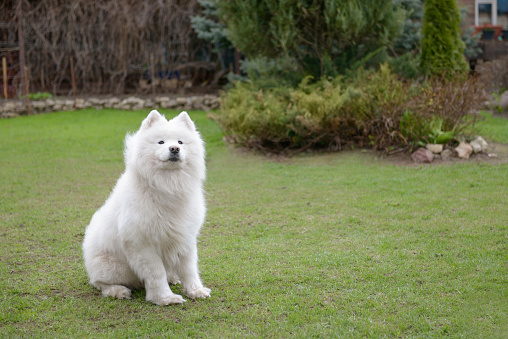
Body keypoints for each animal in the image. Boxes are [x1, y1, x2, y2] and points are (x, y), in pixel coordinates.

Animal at [82, 111, 209, 306]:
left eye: (180, 142)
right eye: (161, 142)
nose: (174, 149)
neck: (167, 185)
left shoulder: (185, 238)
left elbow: (189, 269)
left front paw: (196, 291)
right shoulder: (143, 244)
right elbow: (156, 273)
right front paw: (165, 298)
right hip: (113, 267)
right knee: (99, 283)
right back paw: (118, 291)